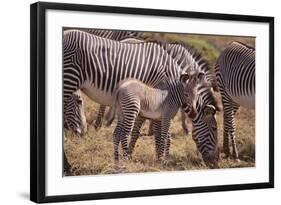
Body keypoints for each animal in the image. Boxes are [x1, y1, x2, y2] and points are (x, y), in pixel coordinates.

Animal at [63, 30, 219, 167]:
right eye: (214, 128)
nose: (215, 162)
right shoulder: (158, 99)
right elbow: (158, 132)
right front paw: (159, 157)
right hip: (69, 78)